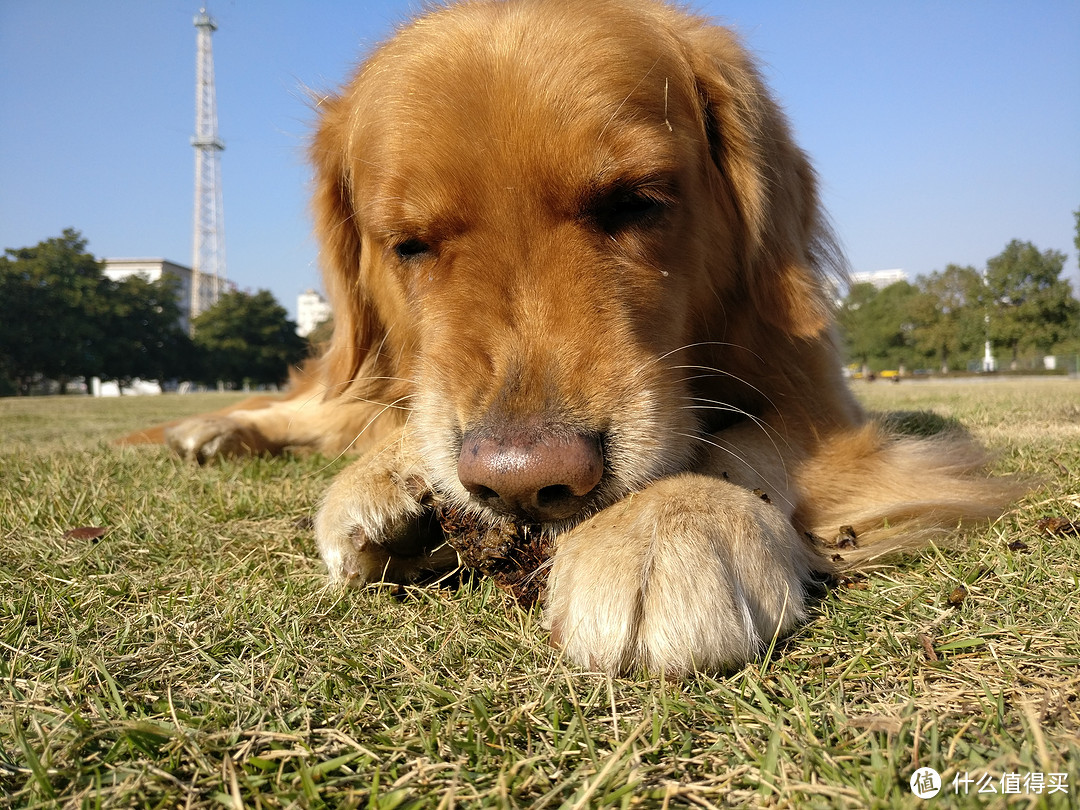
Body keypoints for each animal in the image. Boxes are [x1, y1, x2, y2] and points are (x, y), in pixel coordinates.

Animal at [154, 0, 1019, 673]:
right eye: (410, 245)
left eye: (633, 202)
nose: (521, 482)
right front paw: (391, 476)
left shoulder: (825, 406)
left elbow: (748, 444)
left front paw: (666, 526)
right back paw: (218, 429)